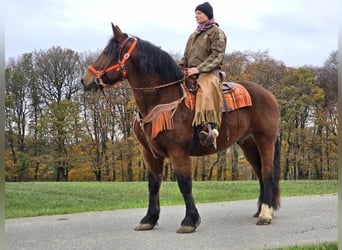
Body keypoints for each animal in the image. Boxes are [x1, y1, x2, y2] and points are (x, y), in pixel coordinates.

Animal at [81, 23, 280, 234]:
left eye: (108, 52)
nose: (85, 80)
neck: (161, 98)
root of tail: (269, 94)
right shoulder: (149, 153)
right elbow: (153, 184)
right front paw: (149, 219)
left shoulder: (178, 151)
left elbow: (184, 184)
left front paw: (189, 221)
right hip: (248, 144)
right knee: (260, 173)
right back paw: (261, 210)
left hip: (265, 140)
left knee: (268, 173)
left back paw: (265, 214)